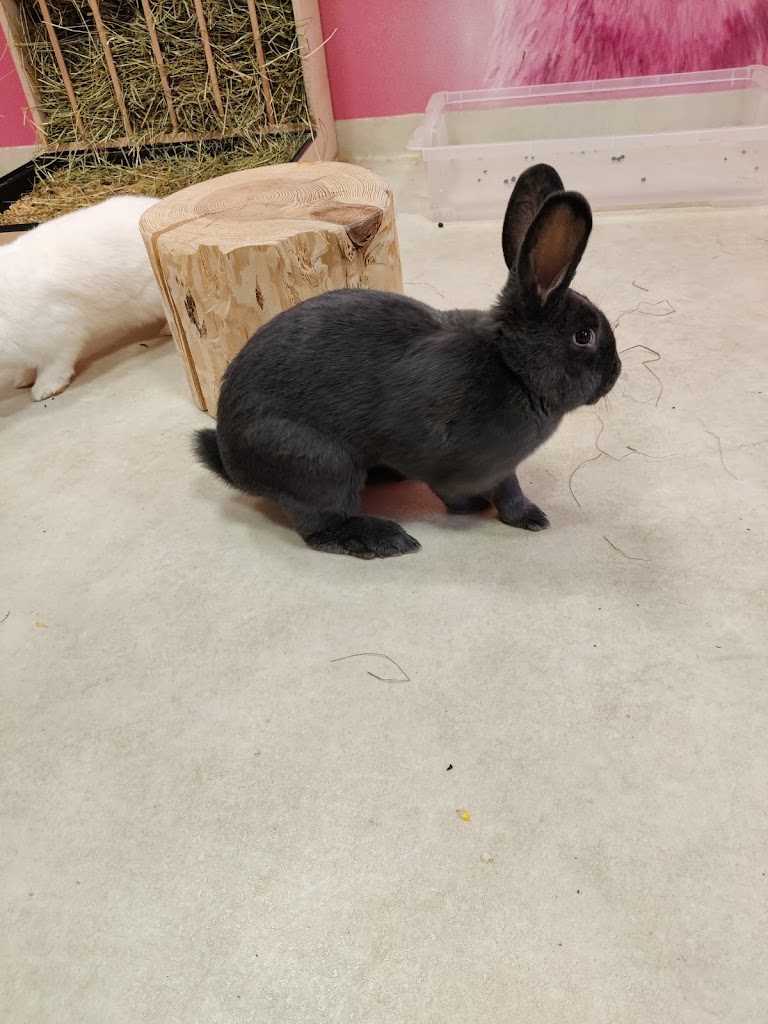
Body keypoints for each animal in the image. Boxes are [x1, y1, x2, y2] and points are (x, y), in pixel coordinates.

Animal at [195, 163, 621, 559]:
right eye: (584, 336)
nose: (615, 373)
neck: (512, 367)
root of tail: (234, 463)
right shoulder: (468, 467)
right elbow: (491, 491)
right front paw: (523, 515)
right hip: (322, 465)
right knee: (320, 527)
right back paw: (384, 539)